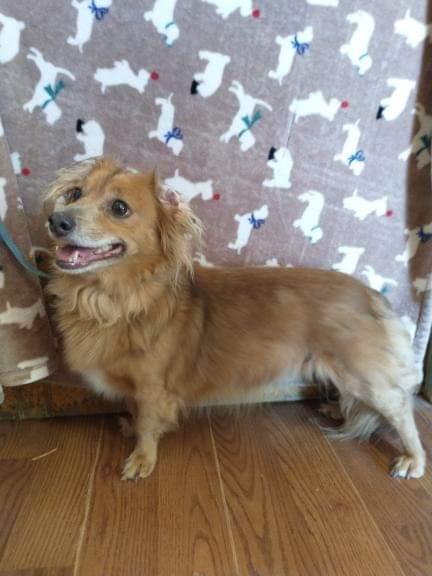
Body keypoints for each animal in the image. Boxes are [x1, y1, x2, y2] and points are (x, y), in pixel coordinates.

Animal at [44, 158, 426, 482]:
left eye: (119, 208)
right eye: (75, 194)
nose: (57, 221)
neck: (118, 300)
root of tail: (370, 293)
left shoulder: (153, 388)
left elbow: (148, 425)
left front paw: (142, 457)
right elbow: (137, 414)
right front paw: (131, 425)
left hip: (363, 375)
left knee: (400, 409)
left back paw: (413, 459)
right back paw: (337, 410)